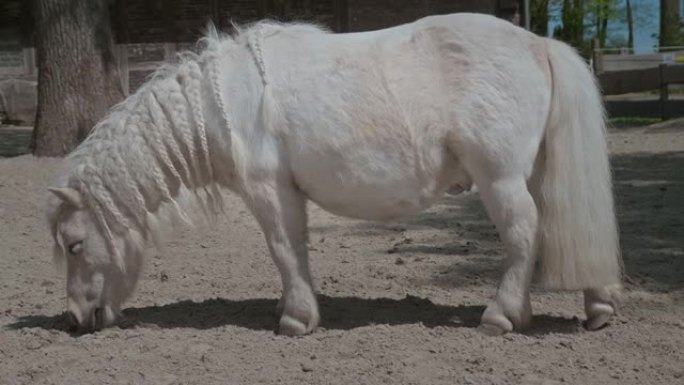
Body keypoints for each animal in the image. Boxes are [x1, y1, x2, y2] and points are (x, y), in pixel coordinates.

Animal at [44, 13, 620, 334]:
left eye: (74, 245)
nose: (74, 320)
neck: (222, 103)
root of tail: (539, 44)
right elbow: (292, 251)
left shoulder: (270, 191)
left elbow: (284, 248)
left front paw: (297, 319)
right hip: (534, 174)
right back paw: (598, 306)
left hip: (500, 179)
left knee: (524, 234)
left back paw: (501, 316)